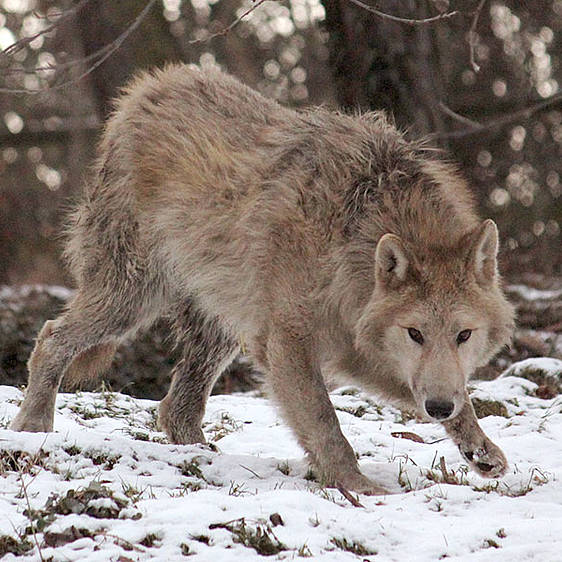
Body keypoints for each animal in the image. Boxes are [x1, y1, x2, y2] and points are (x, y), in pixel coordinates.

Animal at [7, 65, 512, 492]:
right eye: (415, 333)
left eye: (463, 335)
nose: (438, 408)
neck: (351, 243)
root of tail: (144, 89)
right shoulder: (288, 341)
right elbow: (326, 423)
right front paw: (359, 488)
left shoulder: (363, 352)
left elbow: (460, 395)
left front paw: (481, 450)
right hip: (133, 299)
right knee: (52, 336)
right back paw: (33, 427)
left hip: (224, 322)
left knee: (176, 408)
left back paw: (204, 458)